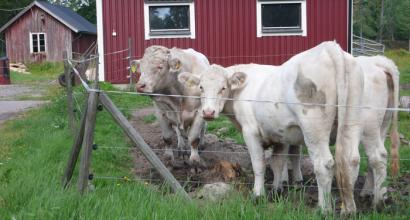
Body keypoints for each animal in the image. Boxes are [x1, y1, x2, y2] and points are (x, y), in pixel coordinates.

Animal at [178, 42, 364, 214]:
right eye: (201, 87)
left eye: (223, 88)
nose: (208, 112)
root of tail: (329, 48)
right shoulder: (281, 134)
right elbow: (278, 163)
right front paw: (277, 190)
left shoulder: (250, 132)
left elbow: (259, 164)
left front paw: (258, 194)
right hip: (351, 122)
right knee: (351, 161)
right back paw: (349, 210)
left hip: (314, 129)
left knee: (324, 164)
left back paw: (323, 209)